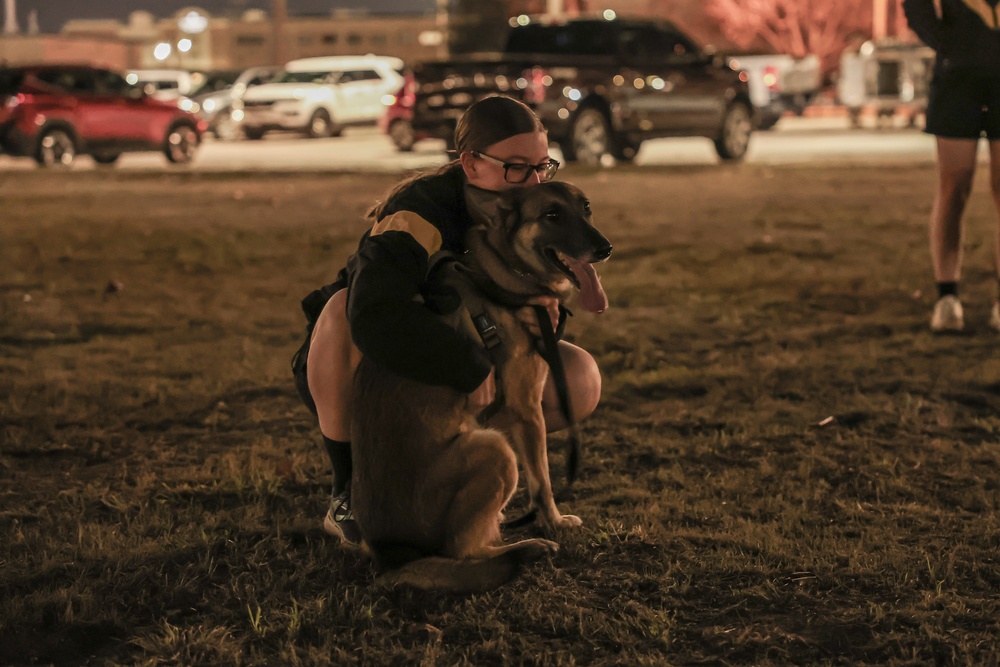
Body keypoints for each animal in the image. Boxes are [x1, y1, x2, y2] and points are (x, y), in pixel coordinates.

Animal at [348, 180, 612, 592]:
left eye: (585, 207)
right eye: (552, 214)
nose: (605, 249)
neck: (502, 270)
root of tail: (392, 559)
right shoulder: (526, 409)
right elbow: (542, 480)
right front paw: (553, 522)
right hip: (495, 450)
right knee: (464, 552)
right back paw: (526, 546)